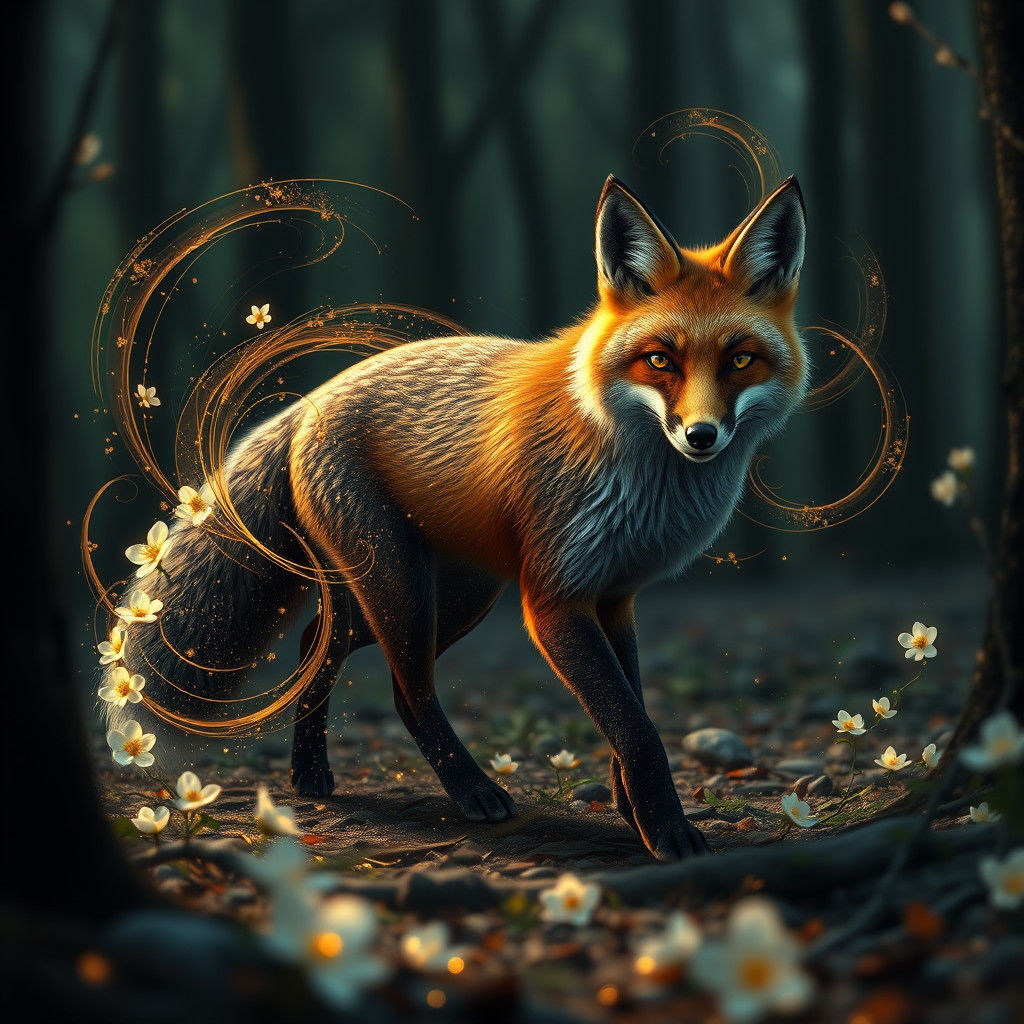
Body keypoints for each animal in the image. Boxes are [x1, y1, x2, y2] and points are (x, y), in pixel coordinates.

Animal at [113, 174, 807, 861]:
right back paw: (472, 792)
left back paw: (309, 773)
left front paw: (629, 804)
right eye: (660, 360)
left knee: (318, 644)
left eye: (740, 359)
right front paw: (666, 831)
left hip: (450, 597)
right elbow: (637, 729)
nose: (701, 435)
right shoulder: (555, 600)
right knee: (407, 691)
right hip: (403, 590)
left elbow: (632, 706)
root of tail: (312, 399)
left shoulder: (616, 595)